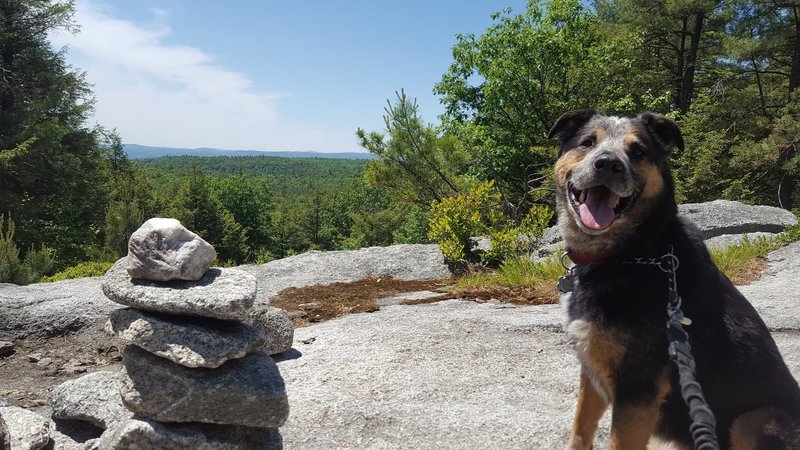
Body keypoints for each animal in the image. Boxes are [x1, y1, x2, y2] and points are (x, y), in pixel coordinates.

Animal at [548, 110, 800, 450]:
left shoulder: (637, 388)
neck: (633, 251)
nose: (608, 164)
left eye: (637, 151)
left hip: (756, 420)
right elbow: (580, 430)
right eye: (587, 142)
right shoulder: (593, 372)